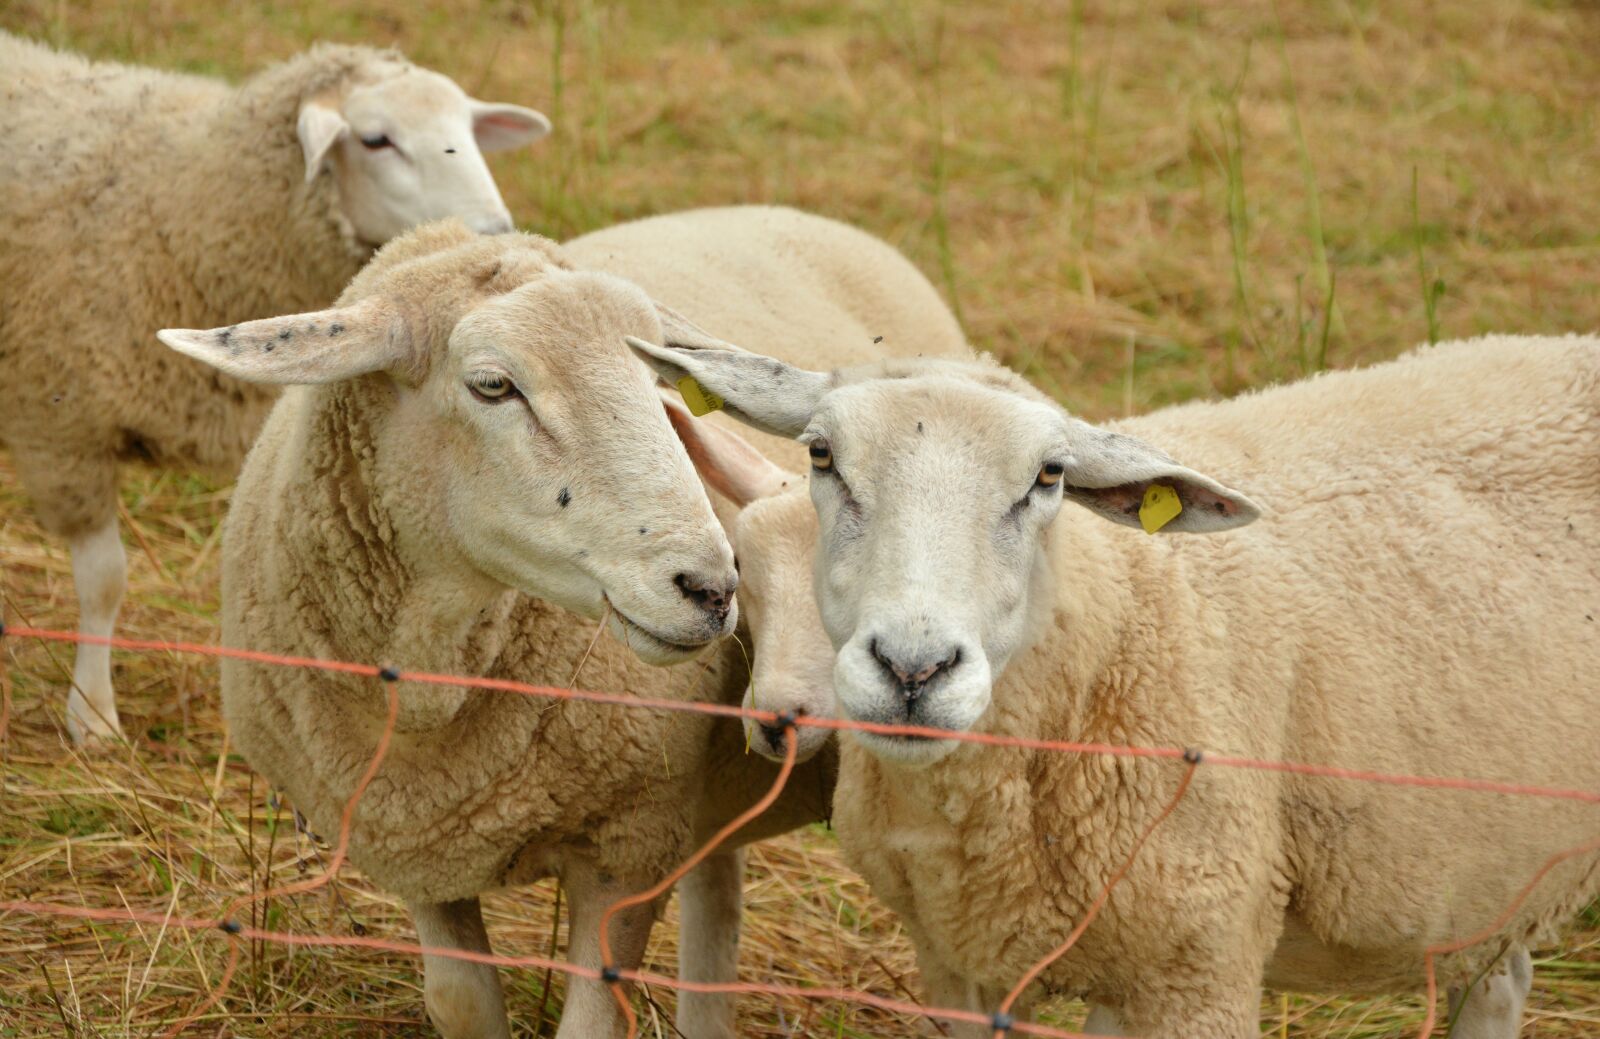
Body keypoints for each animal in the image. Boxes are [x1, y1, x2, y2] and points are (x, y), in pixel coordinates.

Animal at [0, 31, 550, 744]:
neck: (184, 206)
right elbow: (104, 582)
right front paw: (92, 715)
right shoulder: (60, 428)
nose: (495, 231)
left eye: (468, 131)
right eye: (376, 140)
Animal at [160, 206, 966, 1038]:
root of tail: (799, 215)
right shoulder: (410, 844)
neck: (429, 688)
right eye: (492, 385)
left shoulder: (629, 844)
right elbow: (460, 1003)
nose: (711, 588)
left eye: (657, 379)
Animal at [627, 332, 1600, 1038]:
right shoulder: (958, 958)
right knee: (1500, 974)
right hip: (1496, 859)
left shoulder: (1199, 968)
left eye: (1049, 476)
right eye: (823, 454)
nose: (913, 669)